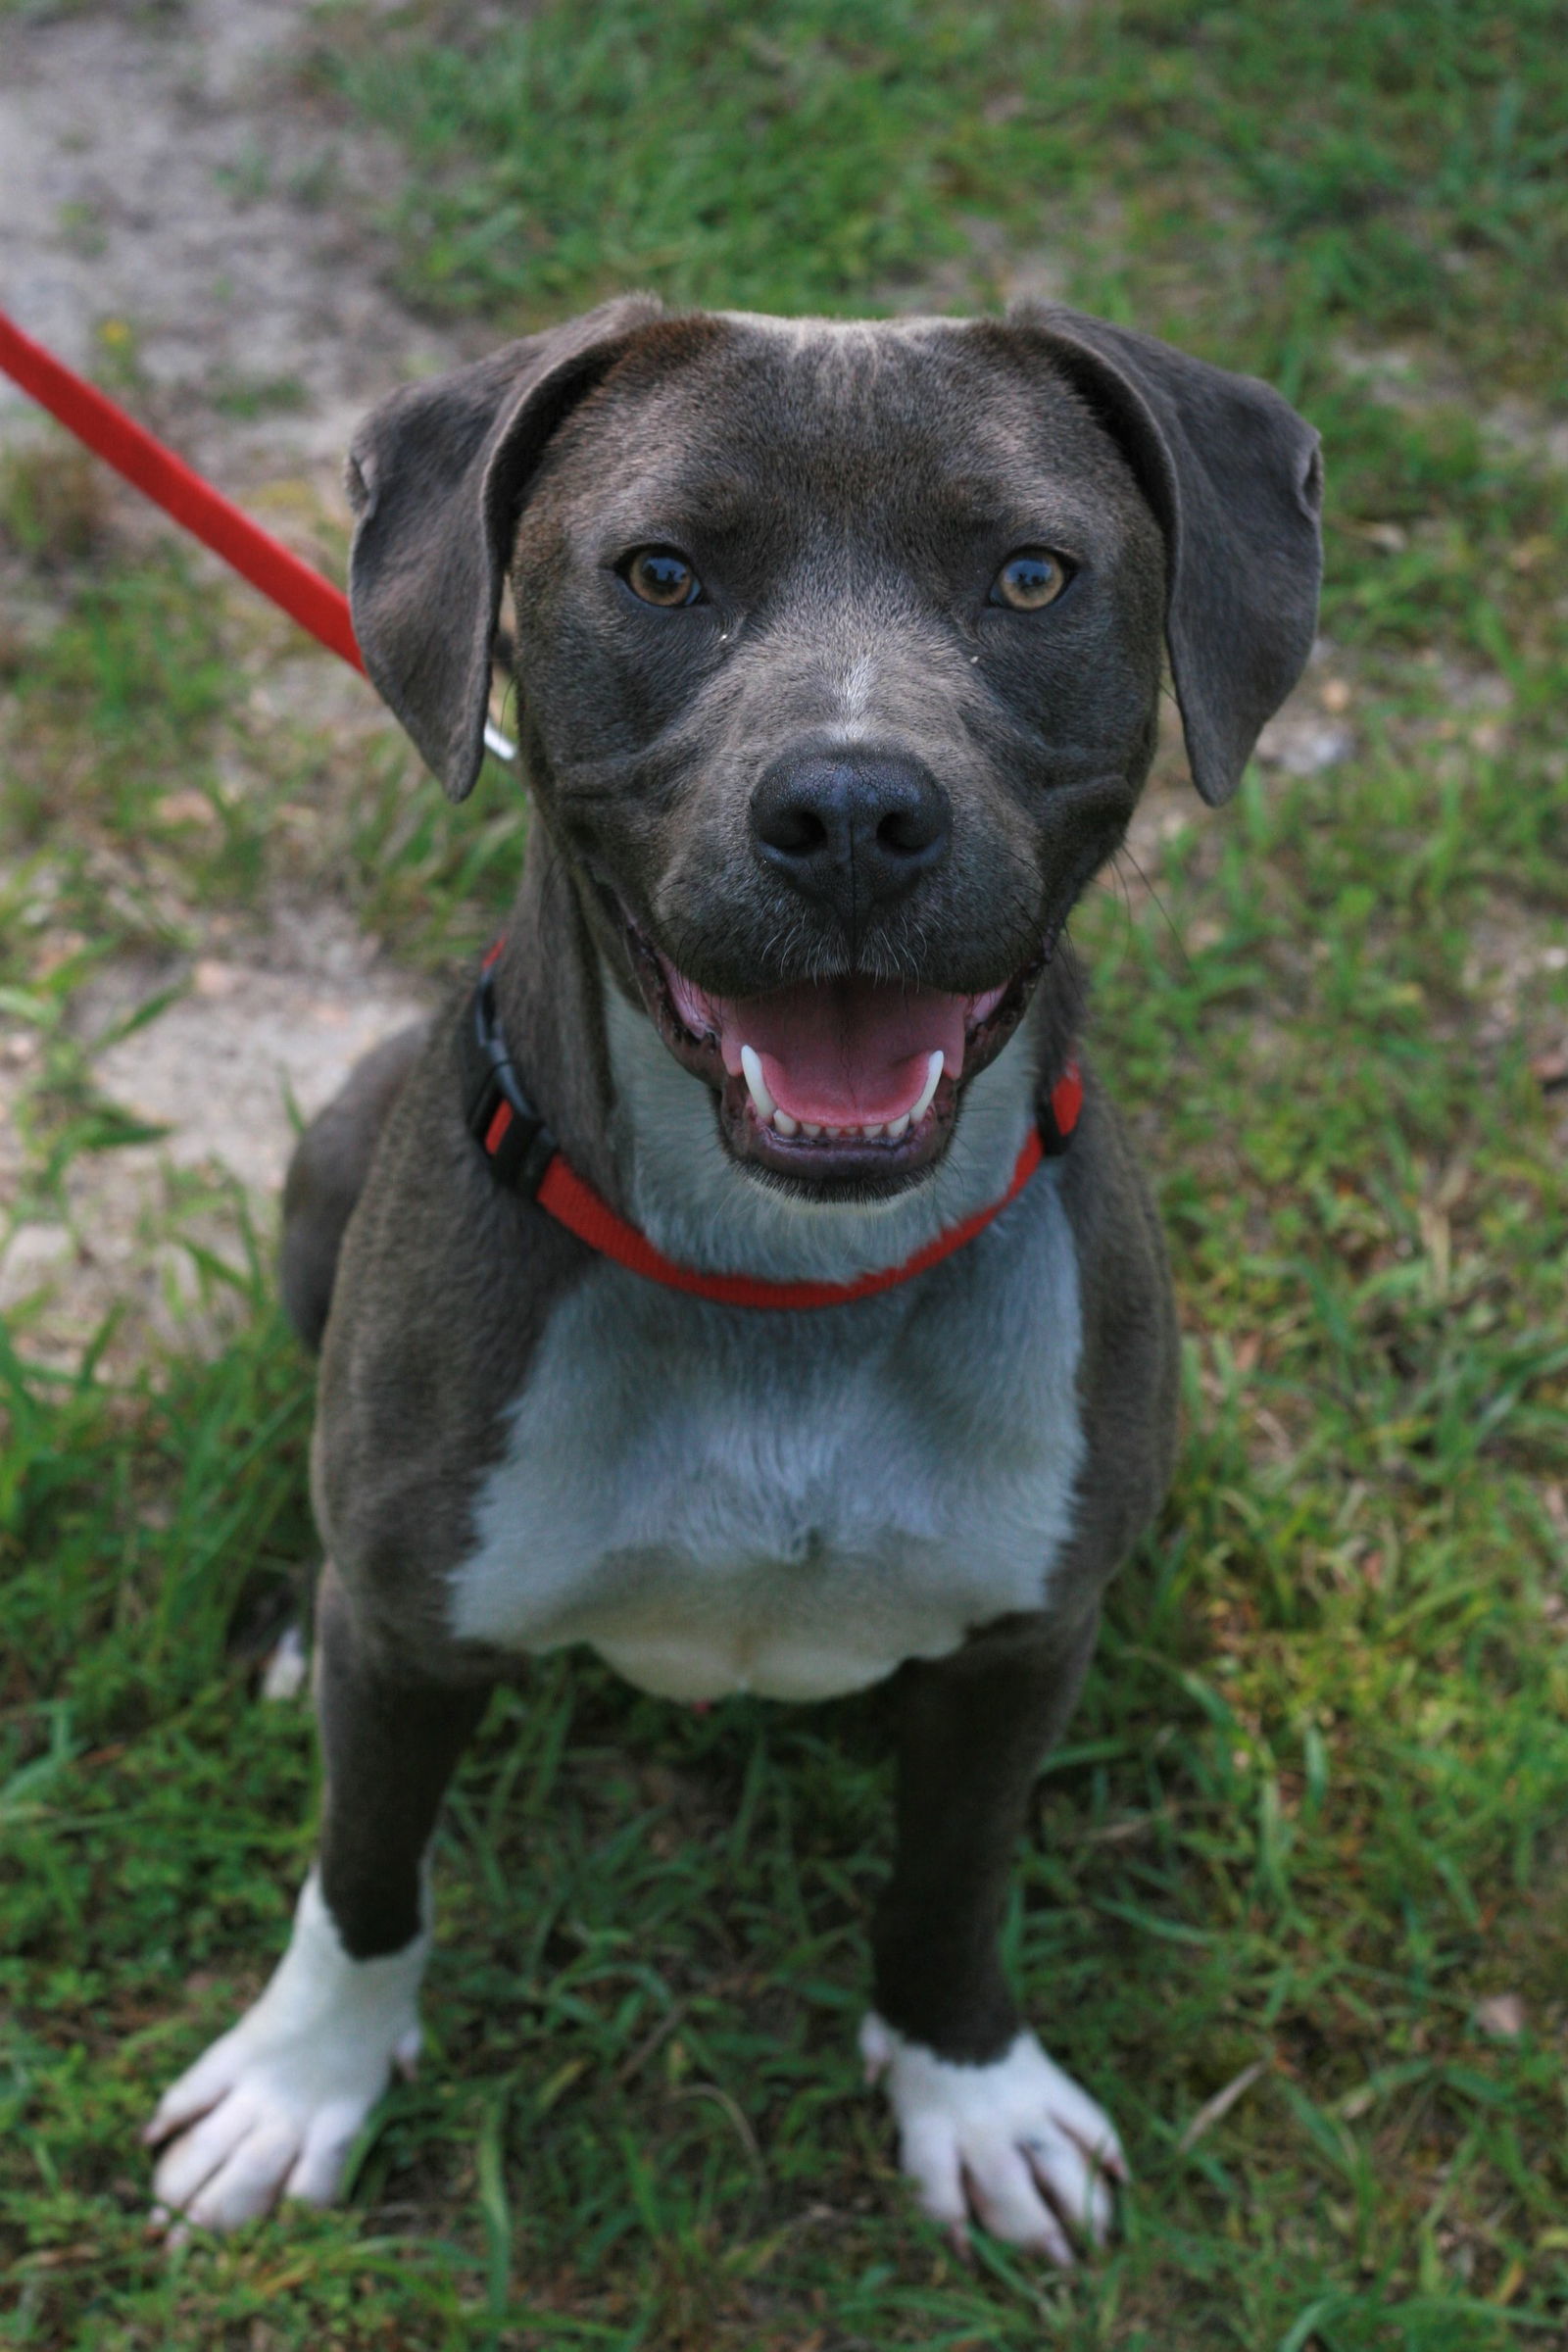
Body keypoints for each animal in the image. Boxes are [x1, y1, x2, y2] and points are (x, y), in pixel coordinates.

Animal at [146, 294, 1325, 2258]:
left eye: (1030, 573)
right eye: (663, 572)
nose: (852, 811)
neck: (789, 1277)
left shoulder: (1021, 1647)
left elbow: (953, 1874)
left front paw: (969, 2085)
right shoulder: (412, 1646)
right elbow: (365, 1869)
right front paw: (300, 2080)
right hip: (331, 1159)